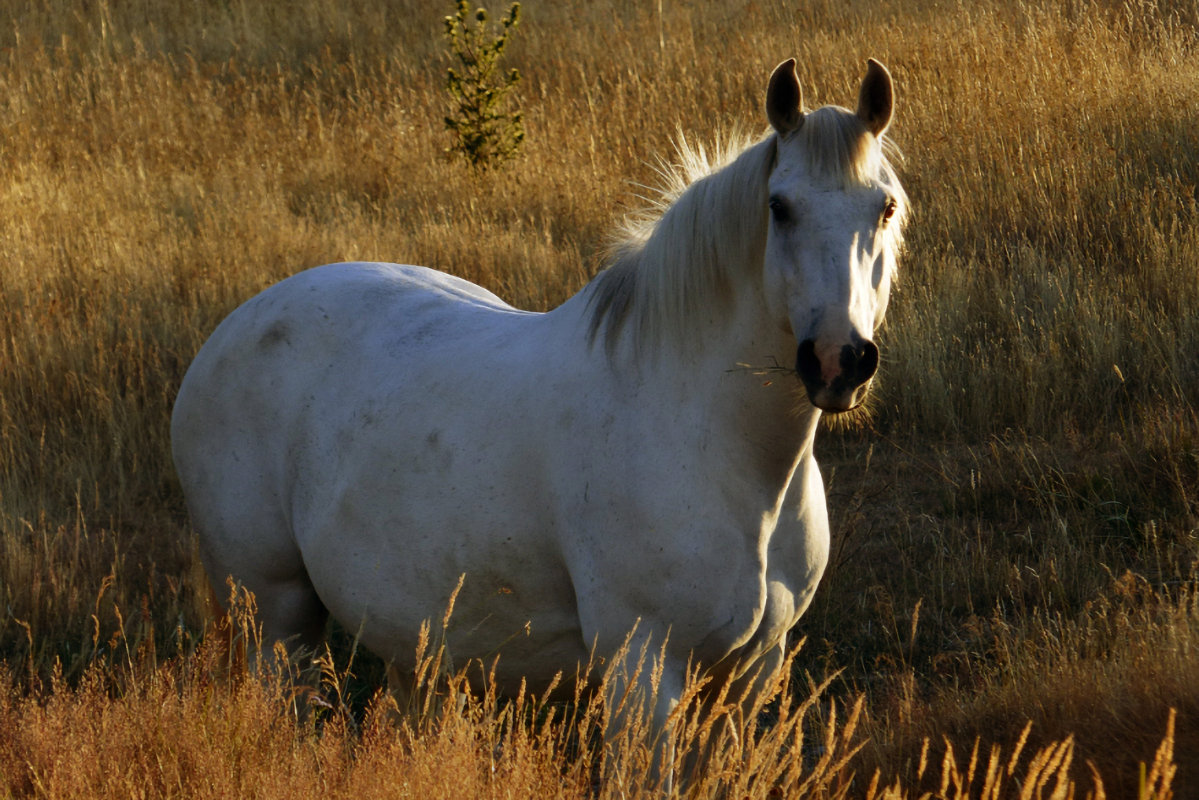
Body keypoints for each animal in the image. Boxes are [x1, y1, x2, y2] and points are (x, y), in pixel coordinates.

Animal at [172, 56, 907, 770]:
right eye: (779, 207)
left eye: (885, 207)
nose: (838, 360)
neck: (716, 446)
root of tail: (233, 329)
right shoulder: (642, 667)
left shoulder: (750, 672)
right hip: (277, 616)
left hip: (411, 636)